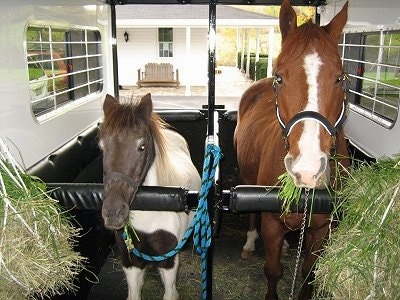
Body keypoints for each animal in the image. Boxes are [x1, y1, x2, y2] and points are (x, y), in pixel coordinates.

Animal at [99, 94, 200, 300]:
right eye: (102, 147)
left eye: (142, 146)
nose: (113, 213)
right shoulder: (131, 261)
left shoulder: (168, 262)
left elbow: (170, 293)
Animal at [234, 1, 350, 298]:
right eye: (279, 77)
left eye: (339, 78)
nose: (307, 169)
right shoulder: (272, 224)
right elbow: (273, 271)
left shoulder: (321, 229)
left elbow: (309, 273)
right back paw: (249, 243)